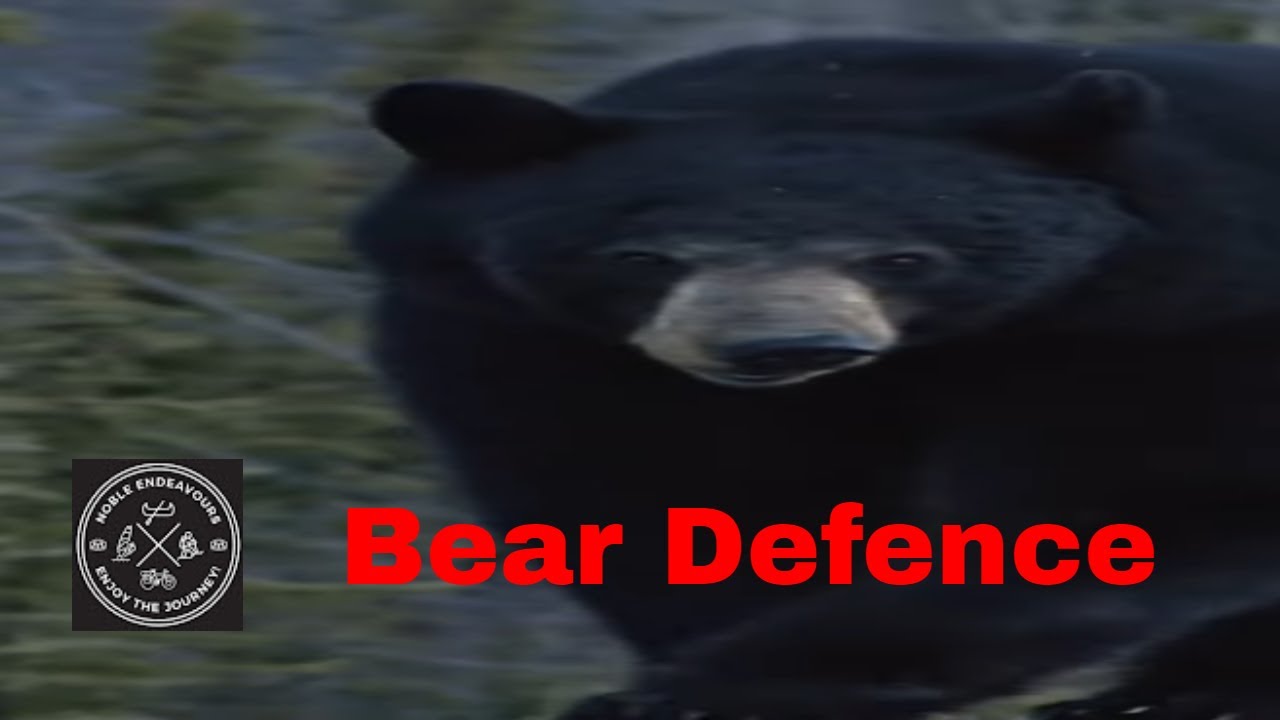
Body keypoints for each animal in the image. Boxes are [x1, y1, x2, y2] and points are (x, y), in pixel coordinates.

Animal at [347, 37, 1280, 720]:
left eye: (905, 258)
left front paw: (742, 680)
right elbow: (671, 505)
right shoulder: (536, 345)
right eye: (640, 257)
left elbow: (1124, 512)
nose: (788, 348)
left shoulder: (1165, 323)